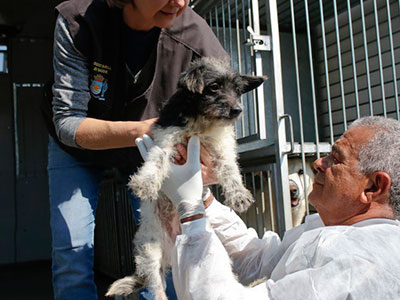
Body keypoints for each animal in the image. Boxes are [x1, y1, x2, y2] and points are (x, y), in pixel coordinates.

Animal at [108, 57, 268, 298]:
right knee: (157, 288)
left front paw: (239, 195)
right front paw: (146, 183)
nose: (237, 110)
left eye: (238, 91)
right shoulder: (167, 138)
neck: (202, 120)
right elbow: (157, 160)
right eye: (214, 86)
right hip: (150, 253)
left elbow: (230, 168)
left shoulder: (221, 146)